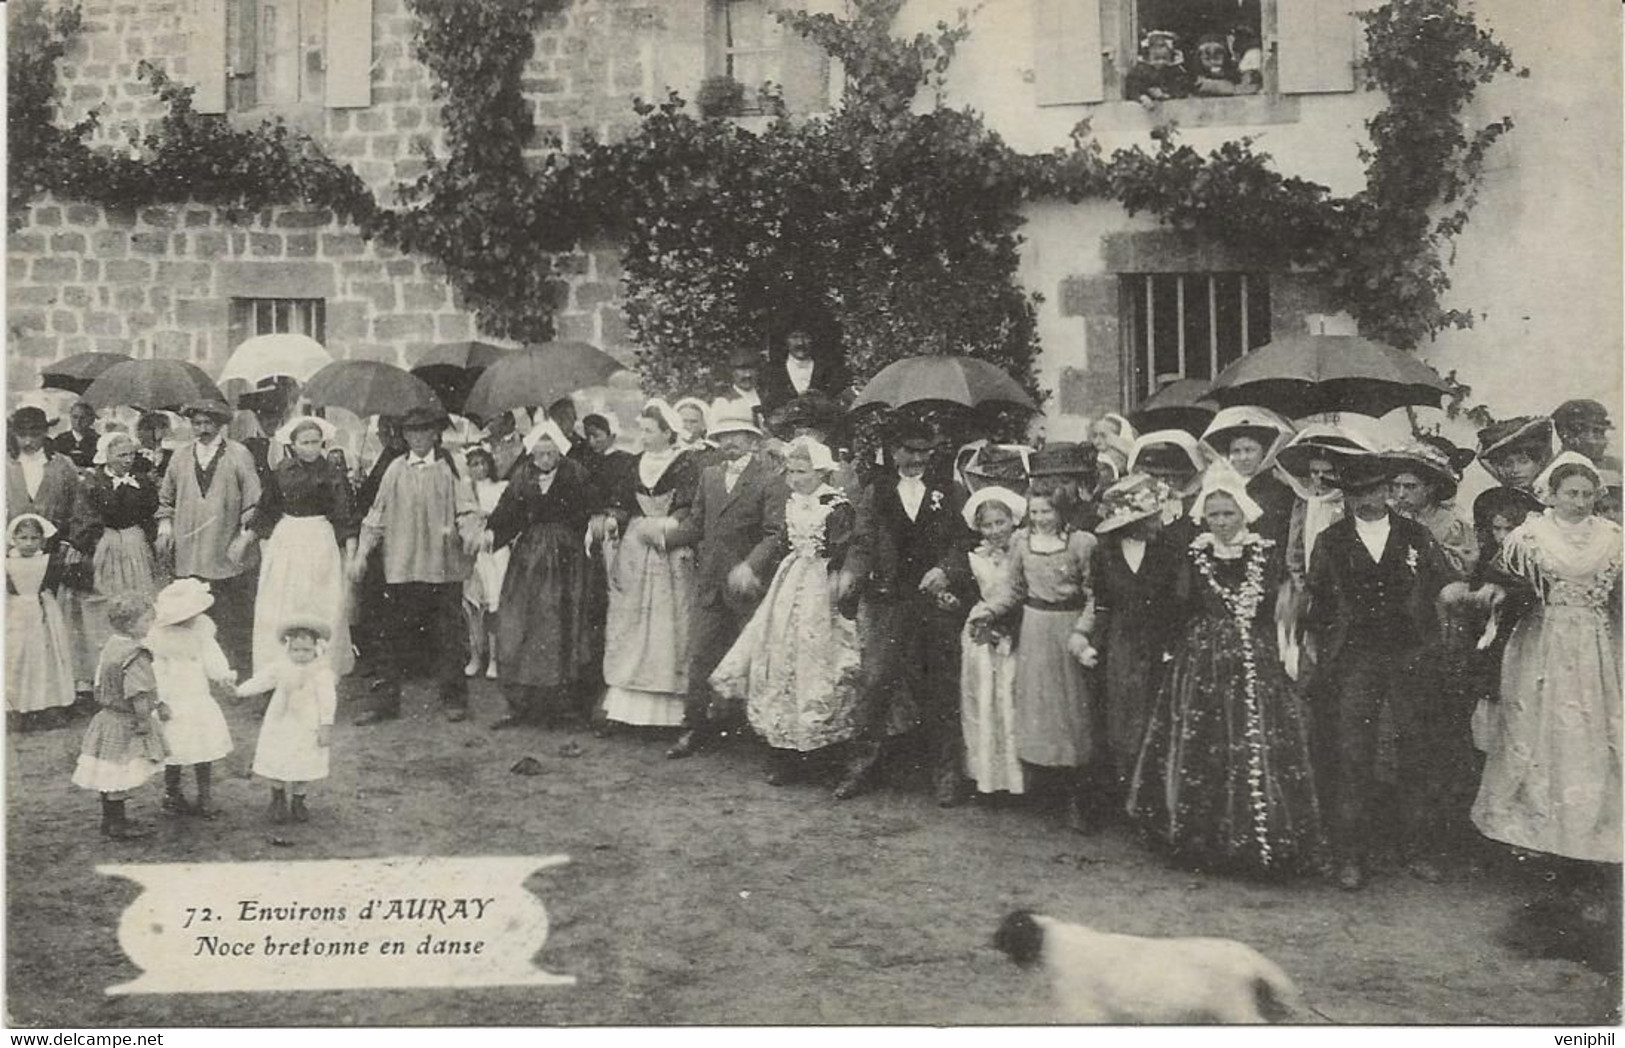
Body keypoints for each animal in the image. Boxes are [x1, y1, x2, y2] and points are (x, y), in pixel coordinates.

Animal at [988, 909, 1319, 1020]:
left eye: (1009, 929)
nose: (990, 940)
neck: (1054, 943)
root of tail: (1251, 958)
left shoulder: (1084, 1010)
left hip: (1236, 1010)